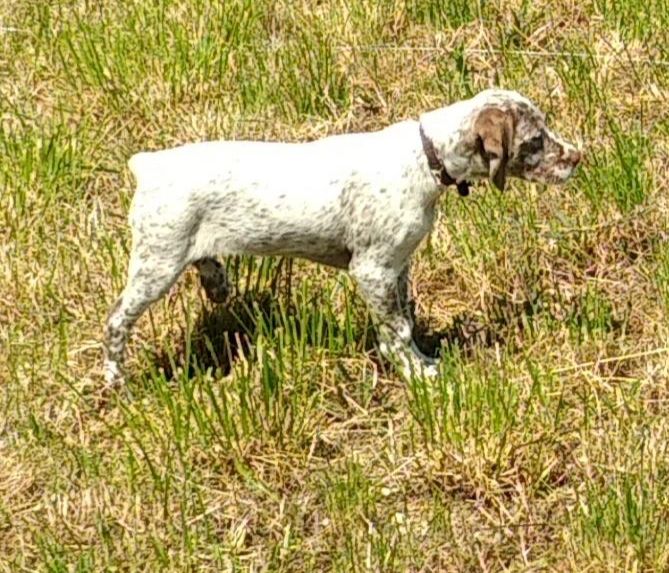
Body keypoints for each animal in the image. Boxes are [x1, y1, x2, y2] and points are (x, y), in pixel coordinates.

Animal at [104, 89, 581, 385]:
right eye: (535, 140)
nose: (578, 157)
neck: (424, 158)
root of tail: (148, 165)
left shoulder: (397, 266)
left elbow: (405, 321)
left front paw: (420, 360)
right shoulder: (372, 270)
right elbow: (398, 330)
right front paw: (416, 373)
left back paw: (217, 283)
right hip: (156, 263)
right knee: (116, 322)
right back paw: (116, 380)